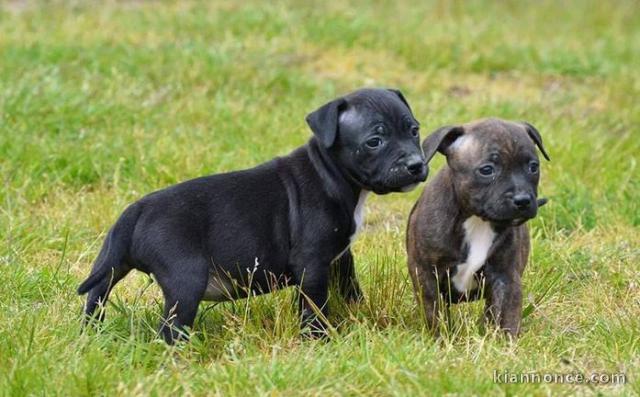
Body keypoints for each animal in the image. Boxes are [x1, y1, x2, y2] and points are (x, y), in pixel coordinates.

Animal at [77, 88, 428, 342]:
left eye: (414, 130)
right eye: (374, 141)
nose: (416, 164)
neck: (331, 173)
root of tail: (137, 210)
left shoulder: (340, 255)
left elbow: (349, 284)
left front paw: (357, 311)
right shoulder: (312, 263)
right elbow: (314, 306)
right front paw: (320, 341)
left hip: (109, 264)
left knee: (96, 296)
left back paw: (90, 336)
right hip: (186, 279)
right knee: (170, 329)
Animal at [408, 117, 548, 338]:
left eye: (533, 167)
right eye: (487, 170)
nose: (523, 200)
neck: (478, 221)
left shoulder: (506, 276)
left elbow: (507, 314)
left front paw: (505, 343)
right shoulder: (426, 273)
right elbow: (435, 313)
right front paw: (441, 339)